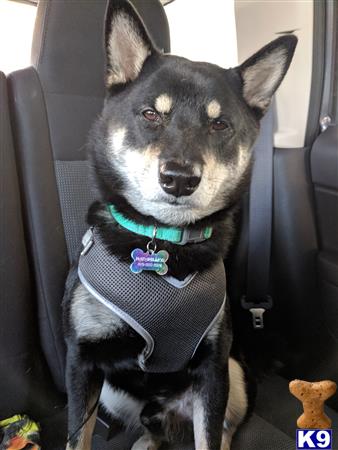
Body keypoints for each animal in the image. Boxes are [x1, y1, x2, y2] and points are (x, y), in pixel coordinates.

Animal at [62, 1, 296, 448]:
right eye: (151, 114)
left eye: (219, 124)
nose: (180, 178)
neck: (163, 244)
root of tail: (166, 413)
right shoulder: (84, 362)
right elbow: (75, 437)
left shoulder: (213, 366)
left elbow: (209, 434)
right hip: (114, 393)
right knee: (150, 429)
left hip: (232, 375)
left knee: (221, 429)